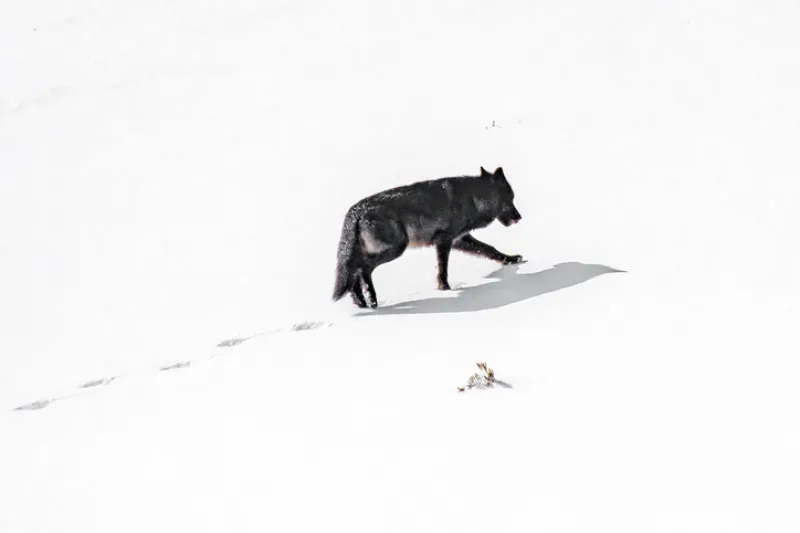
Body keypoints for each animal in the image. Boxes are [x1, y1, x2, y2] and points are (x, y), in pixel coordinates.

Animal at [332, 166, 524, 308]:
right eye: (510, 199)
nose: (519, 217)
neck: (473, 198)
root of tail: (356, 211)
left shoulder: (459, 240)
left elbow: (490, 249)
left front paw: (511, 259)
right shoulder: (444, 240)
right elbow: (443, 268)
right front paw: (445, 289)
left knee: (354, 272)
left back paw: (361, 302)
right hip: (396, 249)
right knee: (362, 268)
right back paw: (371, 299)